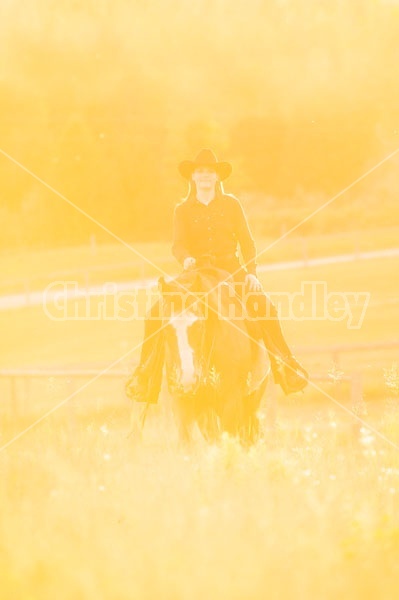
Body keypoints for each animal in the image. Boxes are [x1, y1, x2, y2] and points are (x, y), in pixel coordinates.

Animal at [159, 268, 268, 446]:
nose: (188, 379)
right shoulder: (182, 403)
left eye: (199, 325)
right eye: (166, 329)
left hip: (250, 403)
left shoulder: (231, 402)